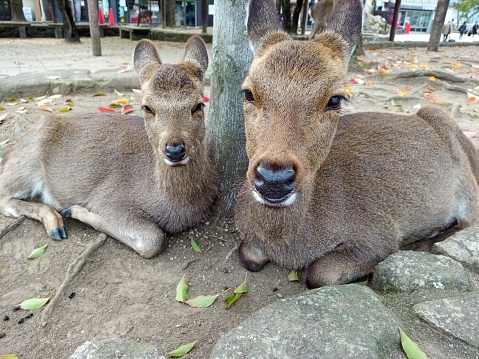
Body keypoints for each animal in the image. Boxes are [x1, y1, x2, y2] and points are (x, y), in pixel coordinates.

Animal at [0, 35, 218, 258]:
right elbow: (153, 239)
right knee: (4, 196)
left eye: (199, 105)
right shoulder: (108, 199)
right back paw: (55, 222)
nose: (174, 150)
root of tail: (9, 153)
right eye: (147, 107)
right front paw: (74, 209)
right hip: (25, 165)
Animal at [235, 0, 479, 290]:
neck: (288, 243)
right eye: (248, 92)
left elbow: (317, 274)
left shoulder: (378, 233)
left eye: (335, 99)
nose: (274, 178)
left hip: (464, 176)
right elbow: (246, 255)